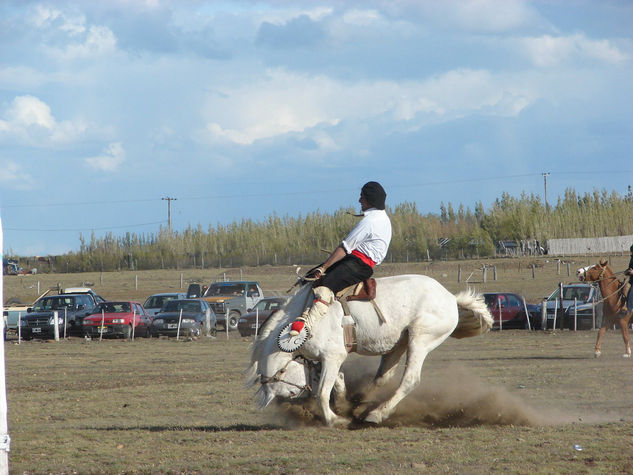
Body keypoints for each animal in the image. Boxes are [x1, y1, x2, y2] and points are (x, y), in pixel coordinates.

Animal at [244, 276, 492, 428]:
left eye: (291, 393)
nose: (297, 405)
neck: (298, 324)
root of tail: (450, 297)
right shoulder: (324, 360)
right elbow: (336, 381)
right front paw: (342, 404)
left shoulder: (333, 356)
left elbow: (322, 391)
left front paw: (334, 419)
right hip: (399, 343)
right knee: (383, 377)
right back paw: (360, 404)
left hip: (420, 339)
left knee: (410, 380)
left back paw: (376, 413)